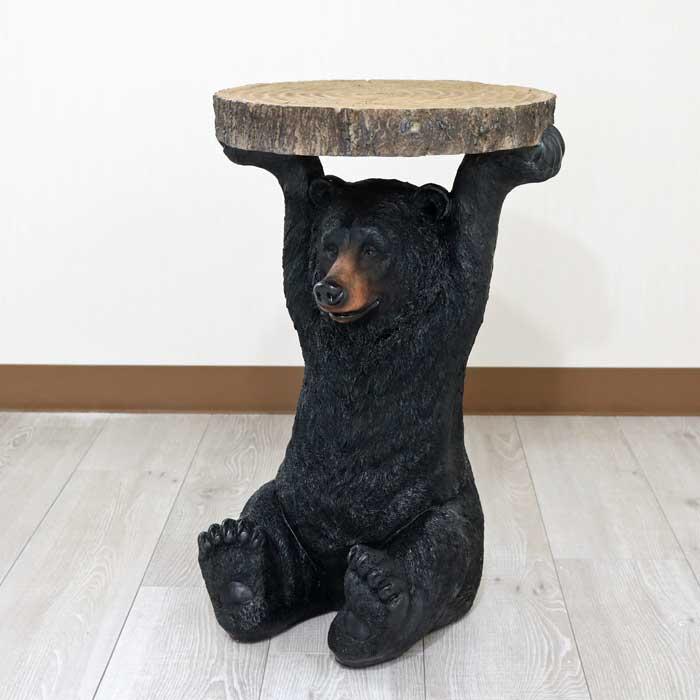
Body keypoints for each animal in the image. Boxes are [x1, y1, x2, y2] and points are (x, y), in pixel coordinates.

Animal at [198, 125, 565, 667]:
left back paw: (373, 606)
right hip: (291, 505)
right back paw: (236, 569)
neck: (371, 327)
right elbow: (295, 233)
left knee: (441, 548)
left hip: (445, 510)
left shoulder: (447, 313)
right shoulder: (309, 310)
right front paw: (261, 153)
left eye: (373, 249)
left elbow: (476, 230)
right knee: (263, 518)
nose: (330, 289)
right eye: (330, 245)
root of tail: (332, 587)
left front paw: (534, 149)